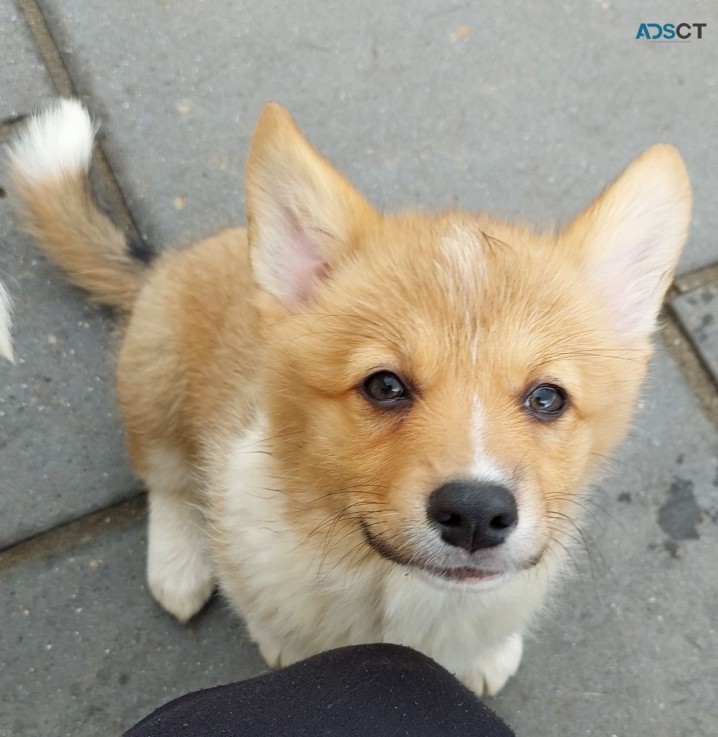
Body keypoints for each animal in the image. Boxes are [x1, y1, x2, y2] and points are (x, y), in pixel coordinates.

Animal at [7, 100, 692, 692]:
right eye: (384, 385)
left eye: (547, 398)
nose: (476, 514)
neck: (390, 584)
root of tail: (163, 263)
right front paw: (283, 646)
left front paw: (487, 654)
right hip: (155, 385)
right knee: (167, 481)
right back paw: (178, 566)